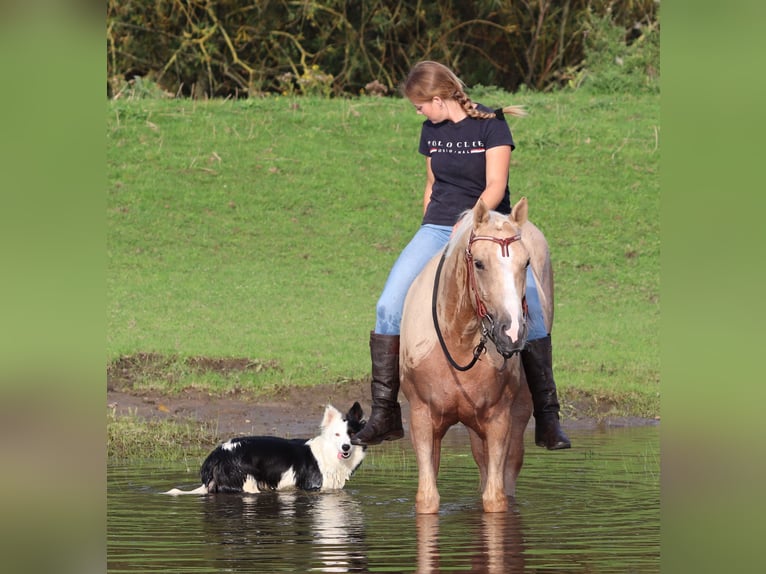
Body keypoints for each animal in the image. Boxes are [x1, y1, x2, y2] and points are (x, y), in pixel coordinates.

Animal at [402, 199, 552, 516]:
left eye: (526, 263)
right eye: (479, 263)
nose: (512, 332)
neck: (458, 338)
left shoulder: (499, 420)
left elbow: (495, 499)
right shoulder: (422, 419)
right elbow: (427, 498)